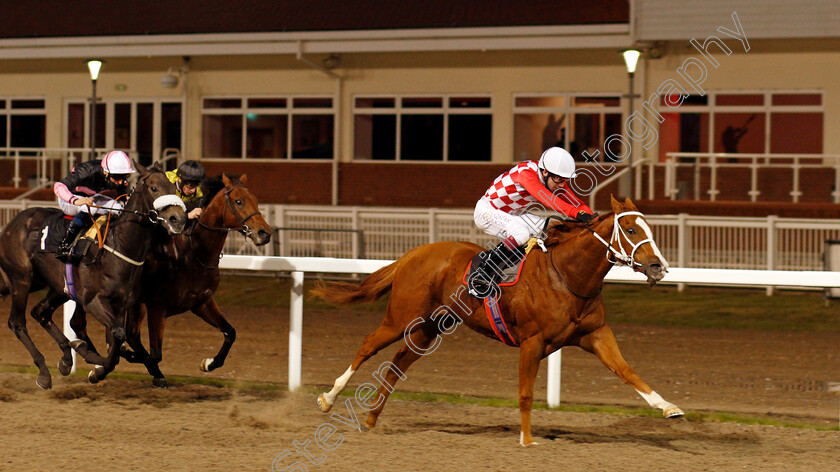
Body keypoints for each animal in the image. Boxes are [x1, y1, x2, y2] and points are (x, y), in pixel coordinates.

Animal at [0, 160, 185, 390]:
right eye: (153, 188)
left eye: (174, 189)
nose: (177, 219)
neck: (118, 247)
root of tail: (12, 224)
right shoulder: (93, 302)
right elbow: (118, 336)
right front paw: (97, 366)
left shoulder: (120, 306)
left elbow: (117, 340)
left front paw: (100, 365)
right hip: (21, 280)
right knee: (17, 323)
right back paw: (45, 371)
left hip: (56, 286)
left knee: (41, 312)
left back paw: (68, 357)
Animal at [312, 195, 684, 446]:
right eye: (631, 229)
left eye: (650, 228)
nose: (658, 267)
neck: (567, 275)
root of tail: (413, 254)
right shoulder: (532, 343)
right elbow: (525, 393)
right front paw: (527, 440)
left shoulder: (595, 334)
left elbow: (627, 371)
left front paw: (669, 408)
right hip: (401, 317)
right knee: (367, 347)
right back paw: (329, 399)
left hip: (427, 329)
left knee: (396, 367)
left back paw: (371, 420)